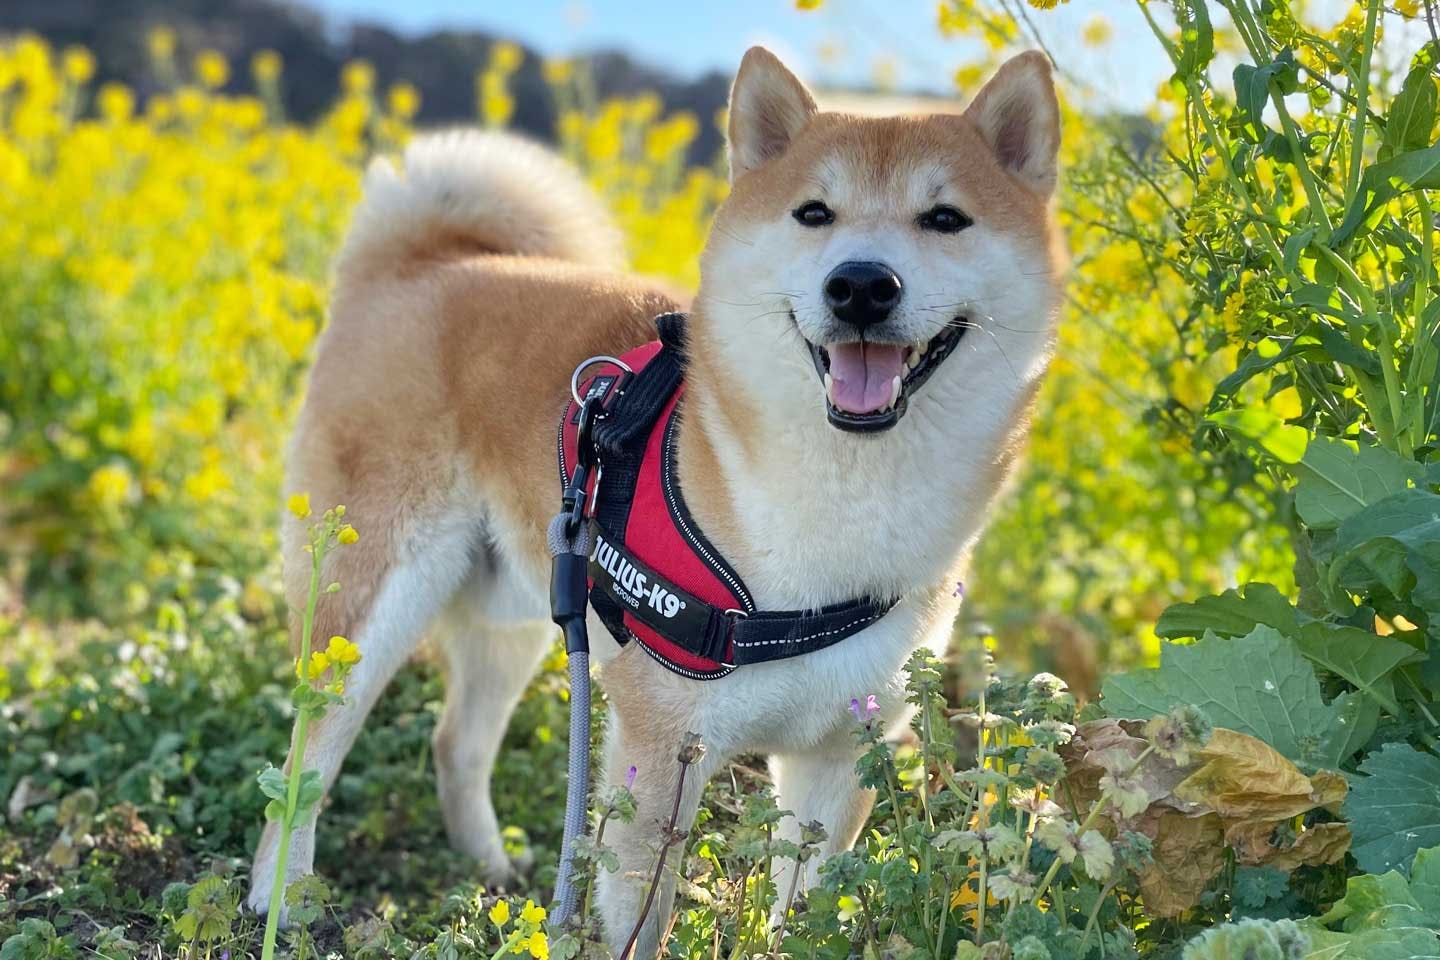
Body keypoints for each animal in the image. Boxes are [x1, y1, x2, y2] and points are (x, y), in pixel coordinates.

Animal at [244, 46, 1059, 960]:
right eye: (814, 213)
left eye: (945, 219)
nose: (860, 284)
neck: (838, 512)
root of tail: (420, 265)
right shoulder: (661, 742)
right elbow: (646, 916)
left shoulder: (839, 754)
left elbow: (803, 910)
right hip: (371, 611)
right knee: (304, 762)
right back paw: (280, 902)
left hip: (523, 609)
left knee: (455, 742)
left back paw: (494, 873)